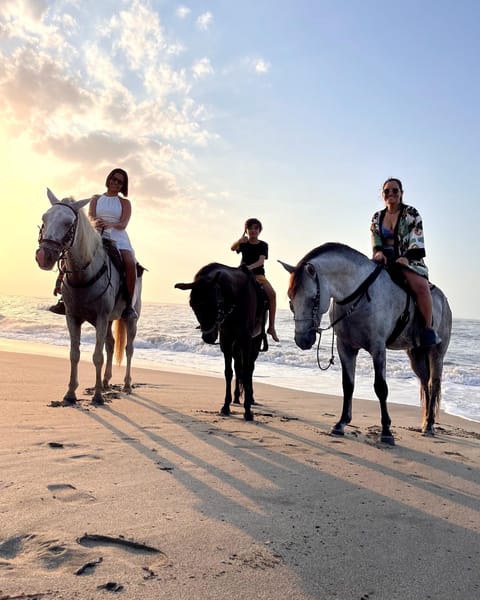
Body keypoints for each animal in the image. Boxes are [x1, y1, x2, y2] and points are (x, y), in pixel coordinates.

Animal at [35, 188, 142, 404]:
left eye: (69, 223)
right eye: (45, 218)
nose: (44, 256)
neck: (83, 274)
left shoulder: (100, 318)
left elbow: (97, 356)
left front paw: (98, 397)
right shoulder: (72, 317)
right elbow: (74, 354)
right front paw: (70, 393)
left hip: (130, 319)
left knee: (128, 349)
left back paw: (126, 385)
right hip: (109, 320)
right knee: (111, 345)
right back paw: (106, 382)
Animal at [175, 262, 268, 422]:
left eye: (214, 303)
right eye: (193, 305)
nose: (208, 336)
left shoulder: (246, 340)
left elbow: (247, 372)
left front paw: (248, 411)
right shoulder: (226, 340)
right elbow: (228, 372)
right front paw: (226, 406)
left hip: (254, 343)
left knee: (249, 368)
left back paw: (250, 398)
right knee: (238, 368)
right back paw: (236, 398)